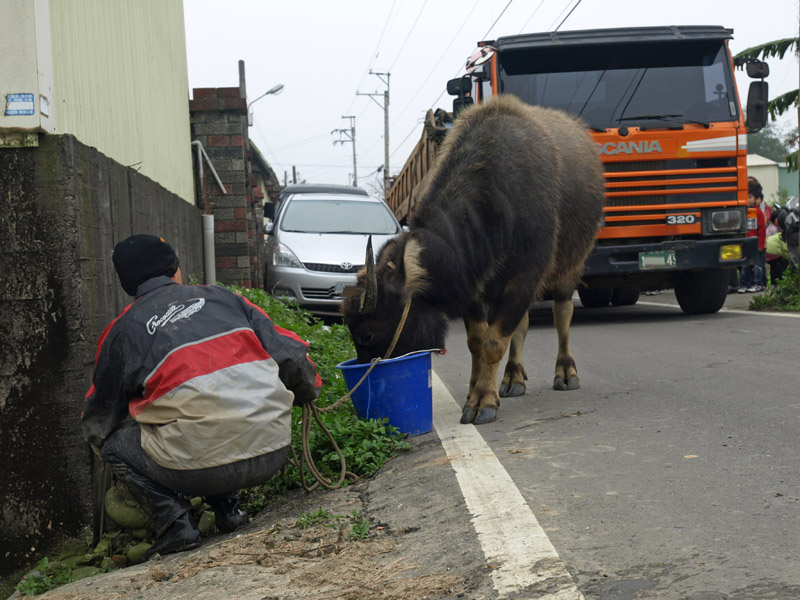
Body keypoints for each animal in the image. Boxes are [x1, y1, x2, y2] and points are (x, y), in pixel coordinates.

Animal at [341, 94, 605, 425]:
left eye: (366, 334)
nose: (369, 376)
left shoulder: (525, 277)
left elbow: (494, 342)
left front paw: (484, 402)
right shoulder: (474, 286)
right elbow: (478, 343)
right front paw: (475, 392)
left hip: (570, 266)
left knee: (562, 314)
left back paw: (566, 372)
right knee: (523, 325)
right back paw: (513, 377)